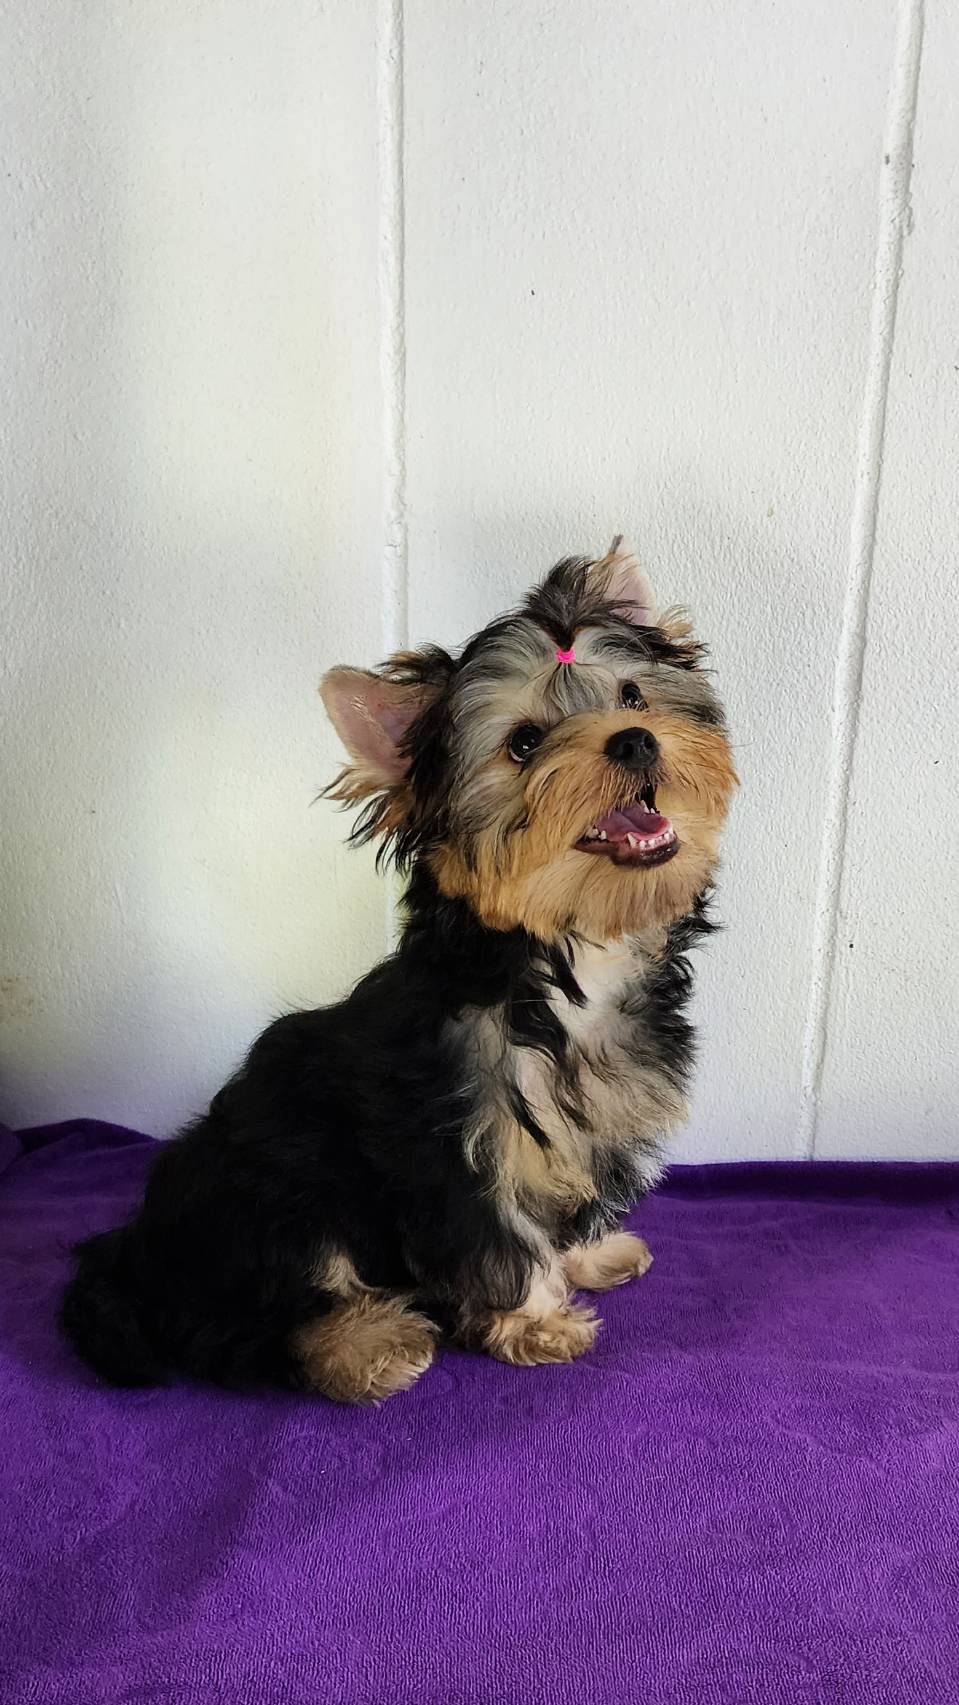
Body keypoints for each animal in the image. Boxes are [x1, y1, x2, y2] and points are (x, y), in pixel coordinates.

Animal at [61, 539, 736, 1402]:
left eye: (631, 693)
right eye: (524, 743)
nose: (635, 739)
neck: (567, 955)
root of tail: (136, 1257)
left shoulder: (585, 1122)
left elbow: (562, 1194)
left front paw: (589, 1253)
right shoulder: (453, 1145)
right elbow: (501, 1238)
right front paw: (536, 1320)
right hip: (272, 1189)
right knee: (250, 1324)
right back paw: (366, 1343)